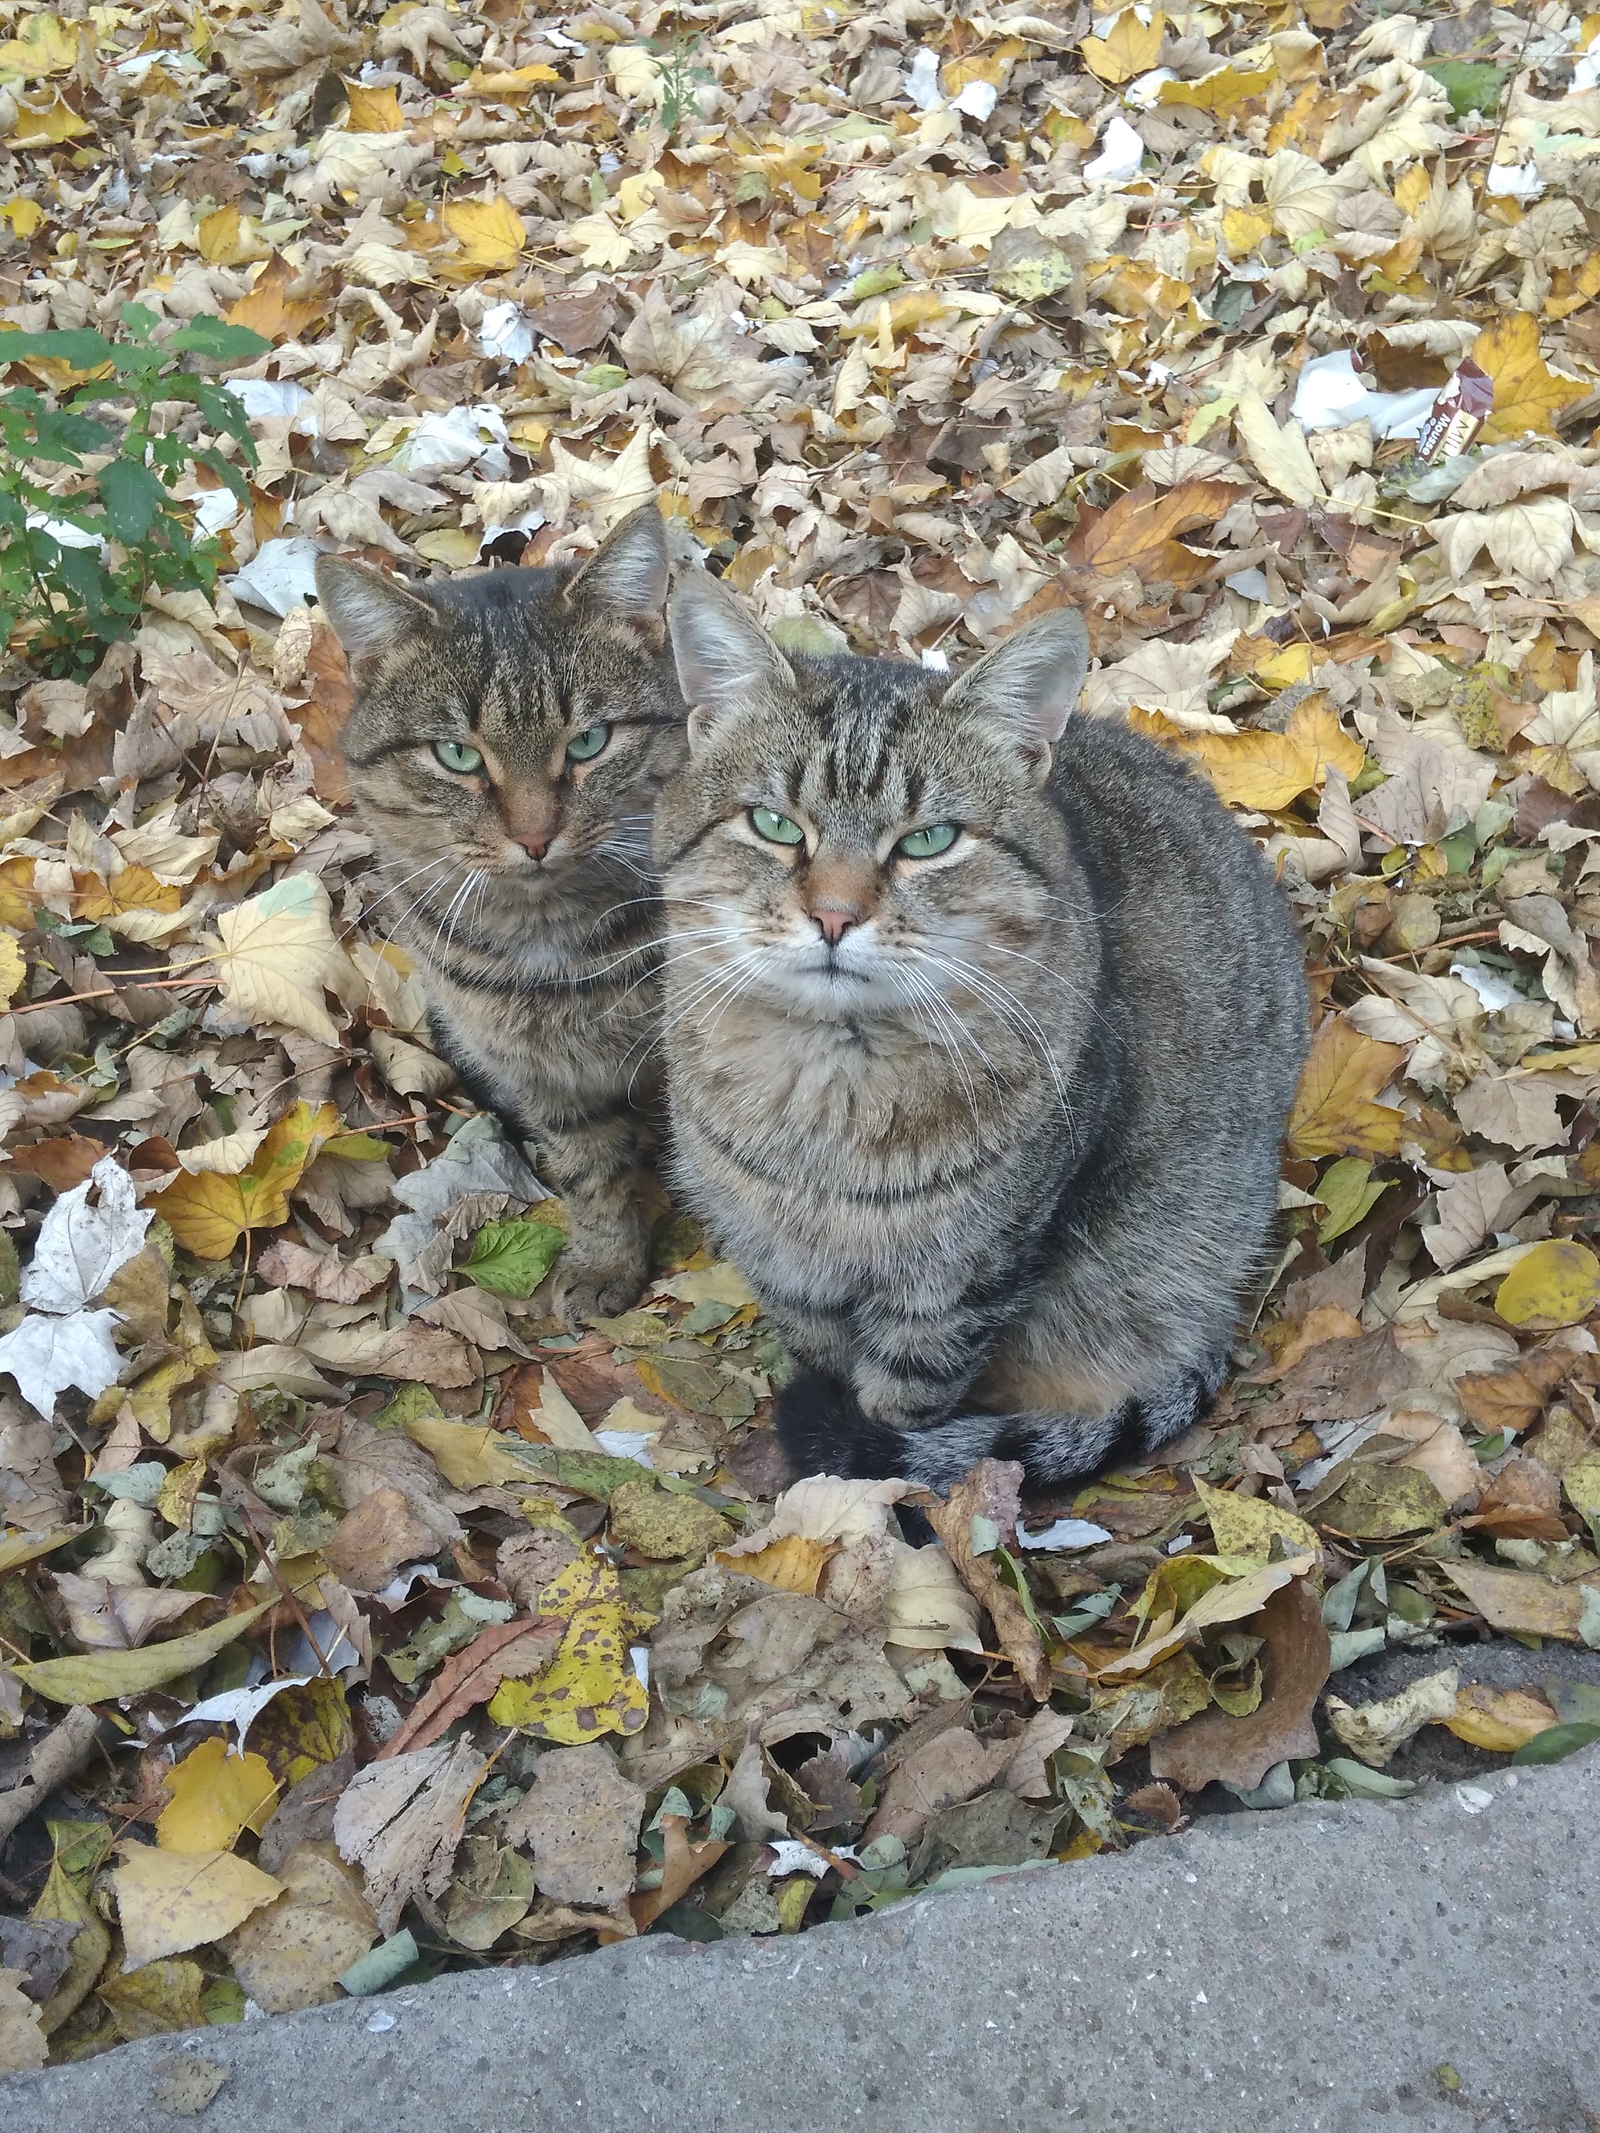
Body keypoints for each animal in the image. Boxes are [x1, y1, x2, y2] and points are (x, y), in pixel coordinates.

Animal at [315, 507, 686, 1322]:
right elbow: (589, 1175)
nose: (536, 837)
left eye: (589, 741)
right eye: (456, 755)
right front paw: (606, 1259)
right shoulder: (543, 1081)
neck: (552, 941)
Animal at [657, 575, 1305, 1493]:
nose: (834, 916)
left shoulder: (963, 1280)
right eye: (775, 825)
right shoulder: (788, 1268)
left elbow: (902, 1404)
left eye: (929, 839)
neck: (830, 1087)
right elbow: (821, 1355)